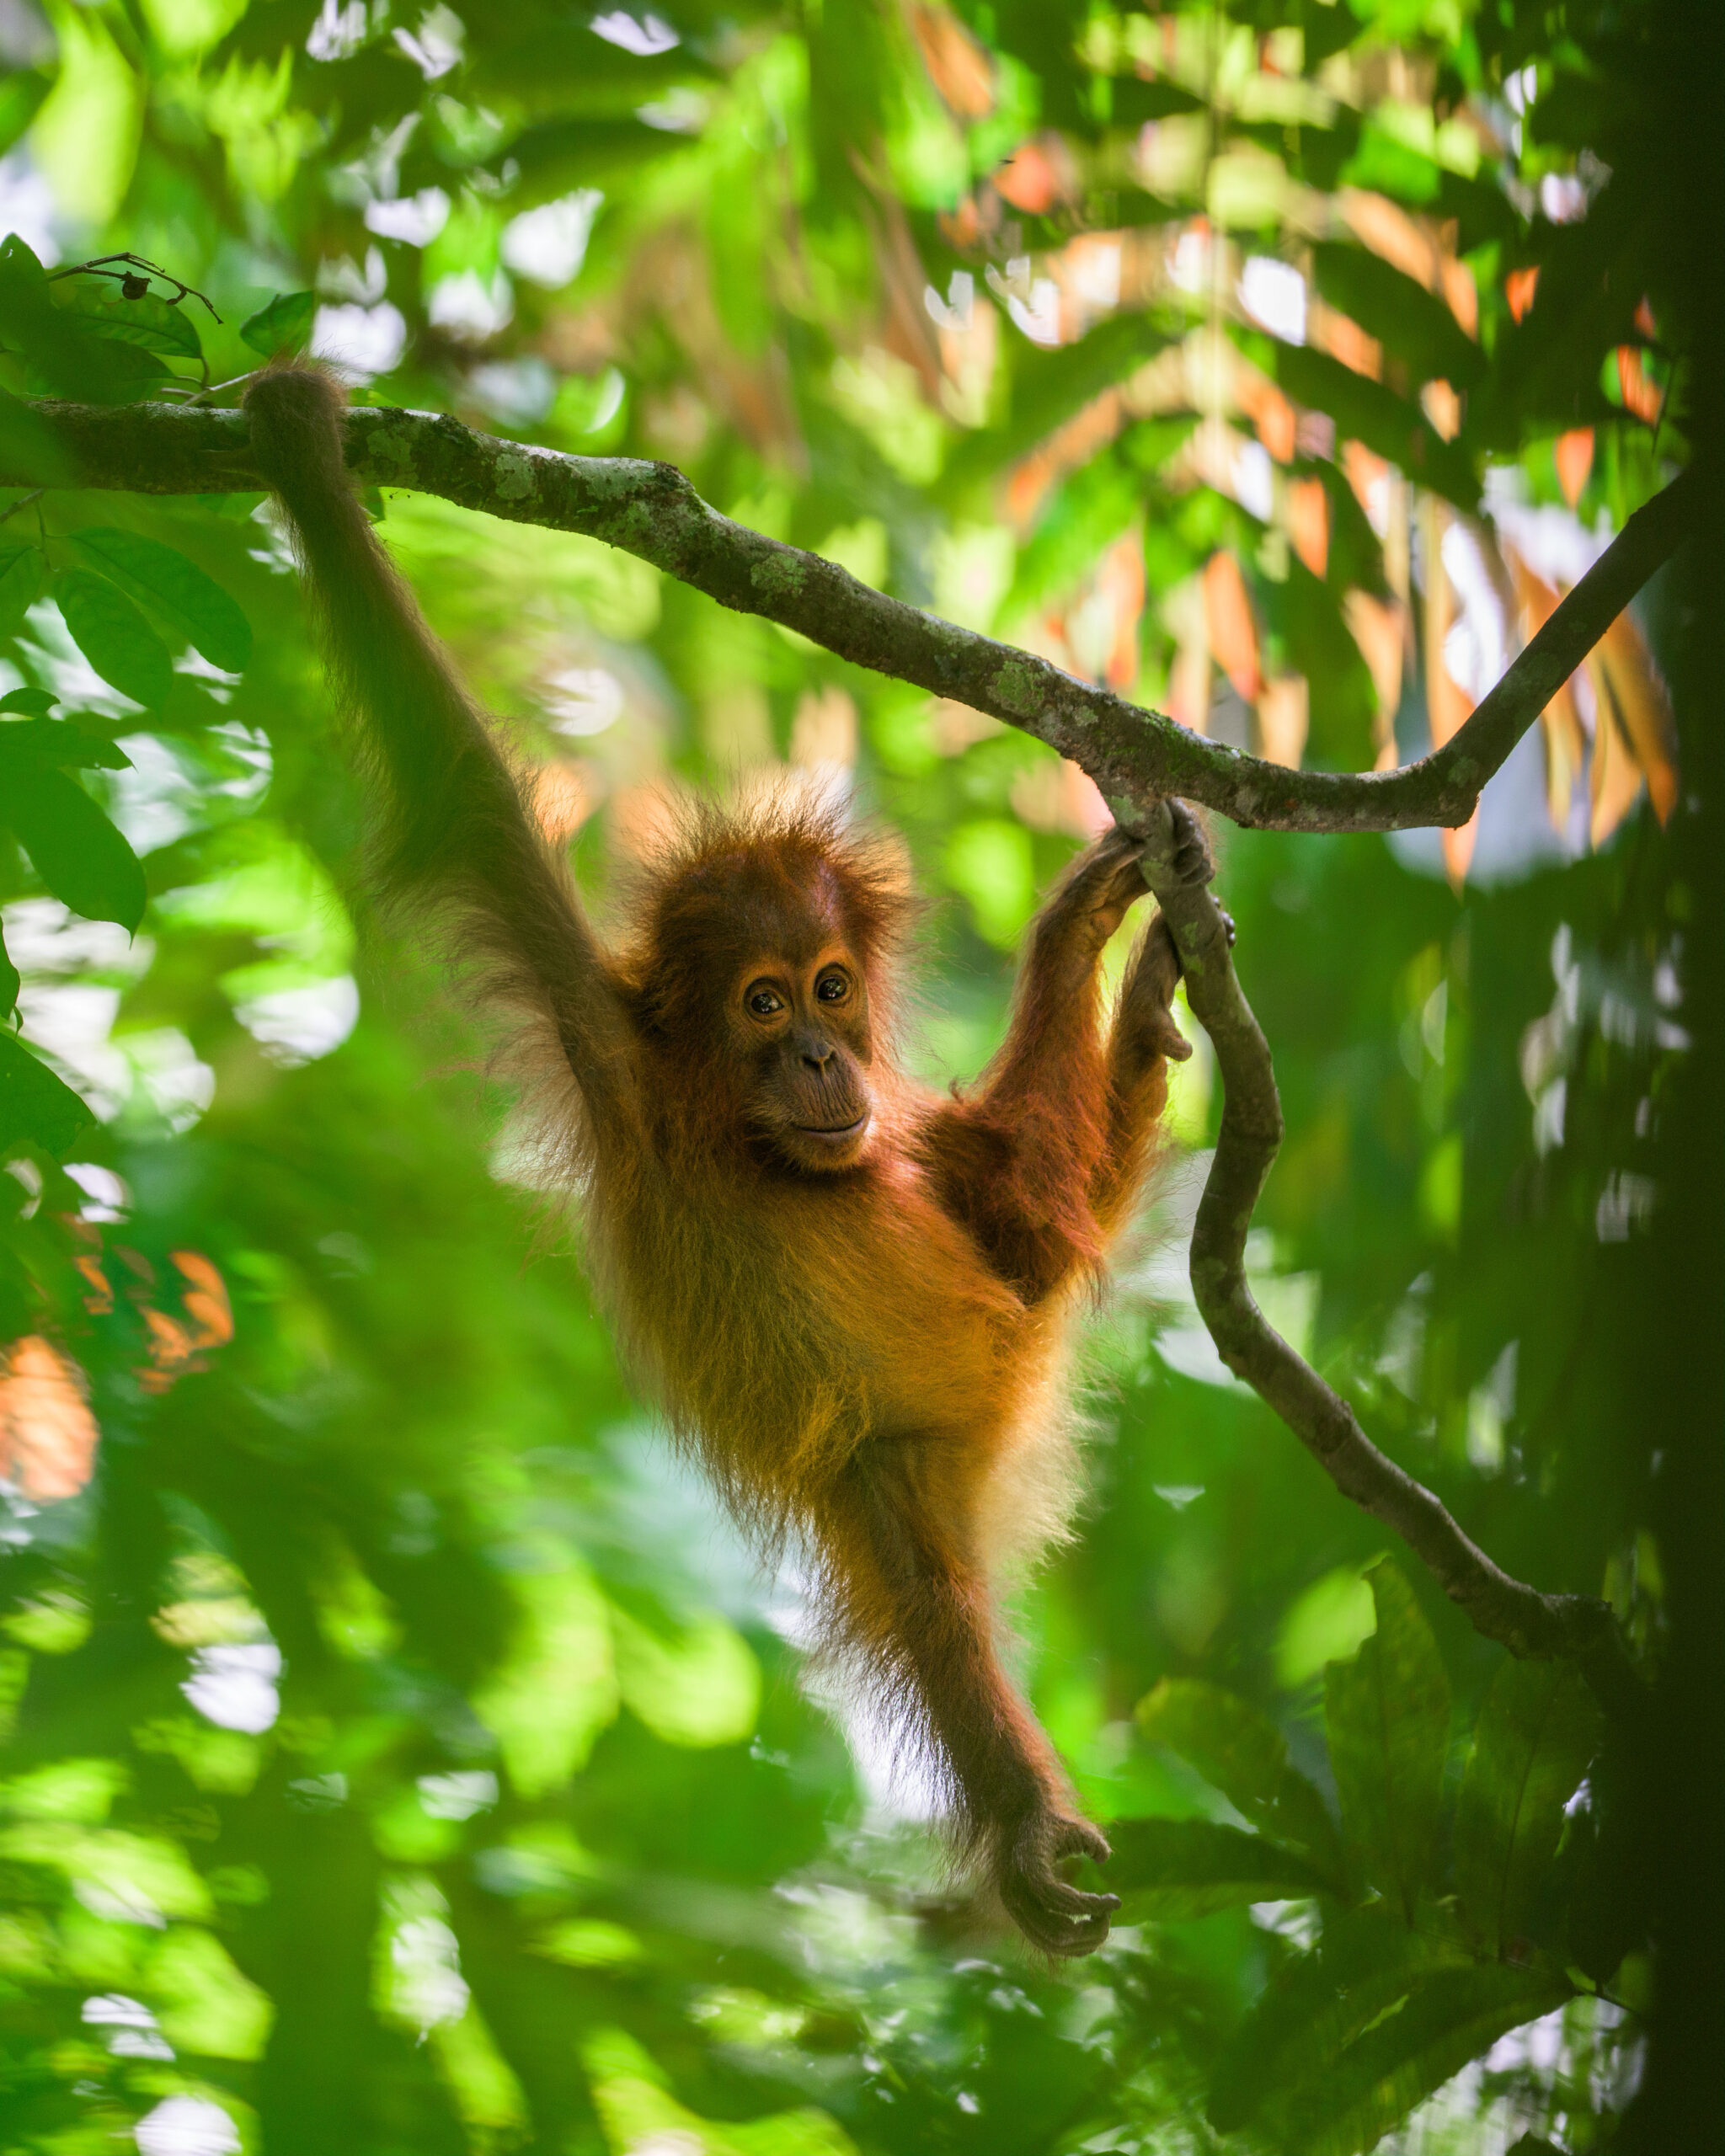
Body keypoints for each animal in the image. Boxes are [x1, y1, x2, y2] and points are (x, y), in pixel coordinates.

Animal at [244, 365, 1215, 1957]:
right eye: (763, 1004)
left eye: (830, 986)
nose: (824, 1060)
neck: (744, 1137)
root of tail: (998, 1409)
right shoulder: (611, 1057)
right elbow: (464, 795)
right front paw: (307, 455)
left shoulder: (891, 1140)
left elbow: (1000, 1204)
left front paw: (1078, 930)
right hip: (890, 1472)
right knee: (938, 1601)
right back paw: (1022, 1824)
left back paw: (1116, 1004)